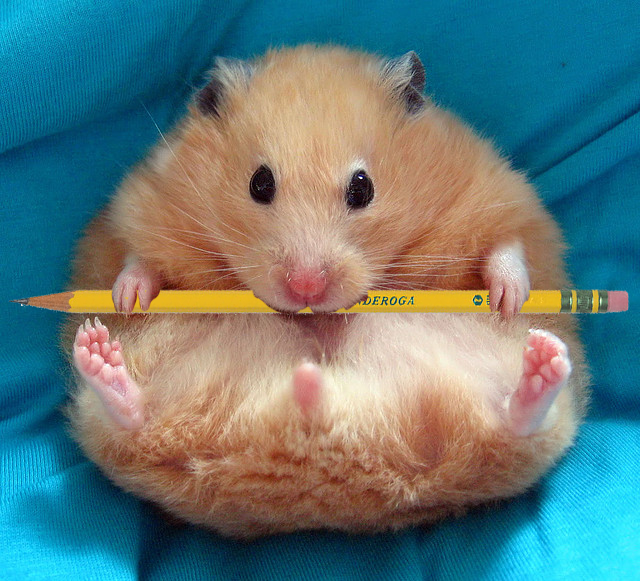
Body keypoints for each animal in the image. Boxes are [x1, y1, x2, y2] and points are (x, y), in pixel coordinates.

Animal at [62, 45, 589, 538]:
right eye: (259, 183)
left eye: (363, 188)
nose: (306, 289)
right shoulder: (145, 204)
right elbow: (141, 260)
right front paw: (128, 299)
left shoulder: (496, 193)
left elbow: (505, 249)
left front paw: (507, 300)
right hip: (141, 413)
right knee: (130, 414)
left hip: (513, 427)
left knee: (519, 420)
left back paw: (540, 360)